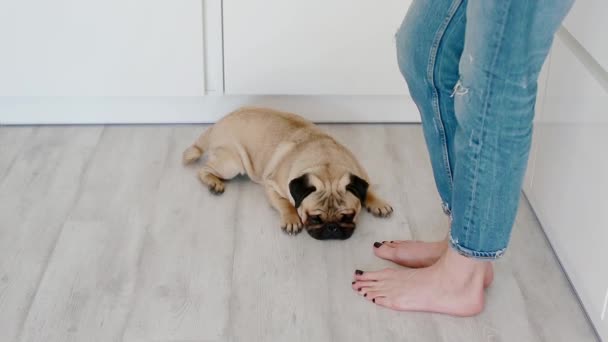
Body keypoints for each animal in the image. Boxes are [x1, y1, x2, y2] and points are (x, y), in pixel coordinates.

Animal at [183, 107, 392, 240]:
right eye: (314, 218)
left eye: (348, 217)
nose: (332, 228)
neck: (326, 161)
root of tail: (217, 124)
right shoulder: (271, 185)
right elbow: (285, 203)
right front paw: (291, 218)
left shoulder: (360, 174)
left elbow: (368, 189)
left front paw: (377, 203)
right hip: (231, 164)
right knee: (204, 169)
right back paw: (213, 183)